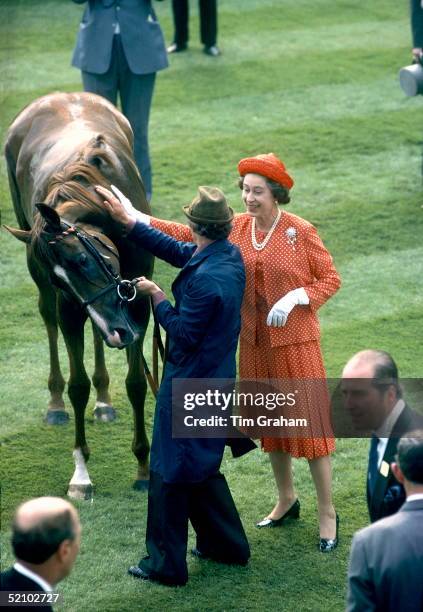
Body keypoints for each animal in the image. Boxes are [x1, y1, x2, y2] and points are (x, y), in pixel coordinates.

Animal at [3, 93, 156, 500]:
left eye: (82, 259)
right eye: (62, 283)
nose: (119, 332)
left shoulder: (136, 302)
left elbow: (136, 383)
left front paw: (143, 467)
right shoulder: (70, 305)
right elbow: (77, 384)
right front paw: (81, 475)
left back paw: (104, 399)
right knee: (50, 321)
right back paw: (56, 402)